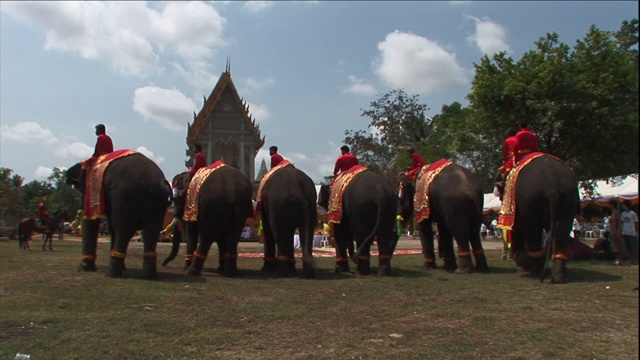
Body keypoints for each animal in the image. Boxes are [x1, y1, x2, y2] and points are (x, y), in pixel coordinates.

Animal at [65, 150, 172, 280]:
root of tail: (158, 182)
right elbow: (110, 225)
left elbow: (91, 219)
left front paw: (84, 269)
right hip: (156, 202)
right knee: (151, 230)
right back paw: (149, 276)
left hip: (125, 195)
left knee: (123, 229)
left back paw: (111, 274)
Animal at [500, 153, 580, 282]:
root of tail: (552, 182)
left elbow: (518, 230)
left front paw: (523, 264)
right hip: (569, 196)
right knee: (562, 232)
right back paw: (558, 277)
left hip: (529, 200)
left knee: (532, 232)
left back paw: (536, 272)